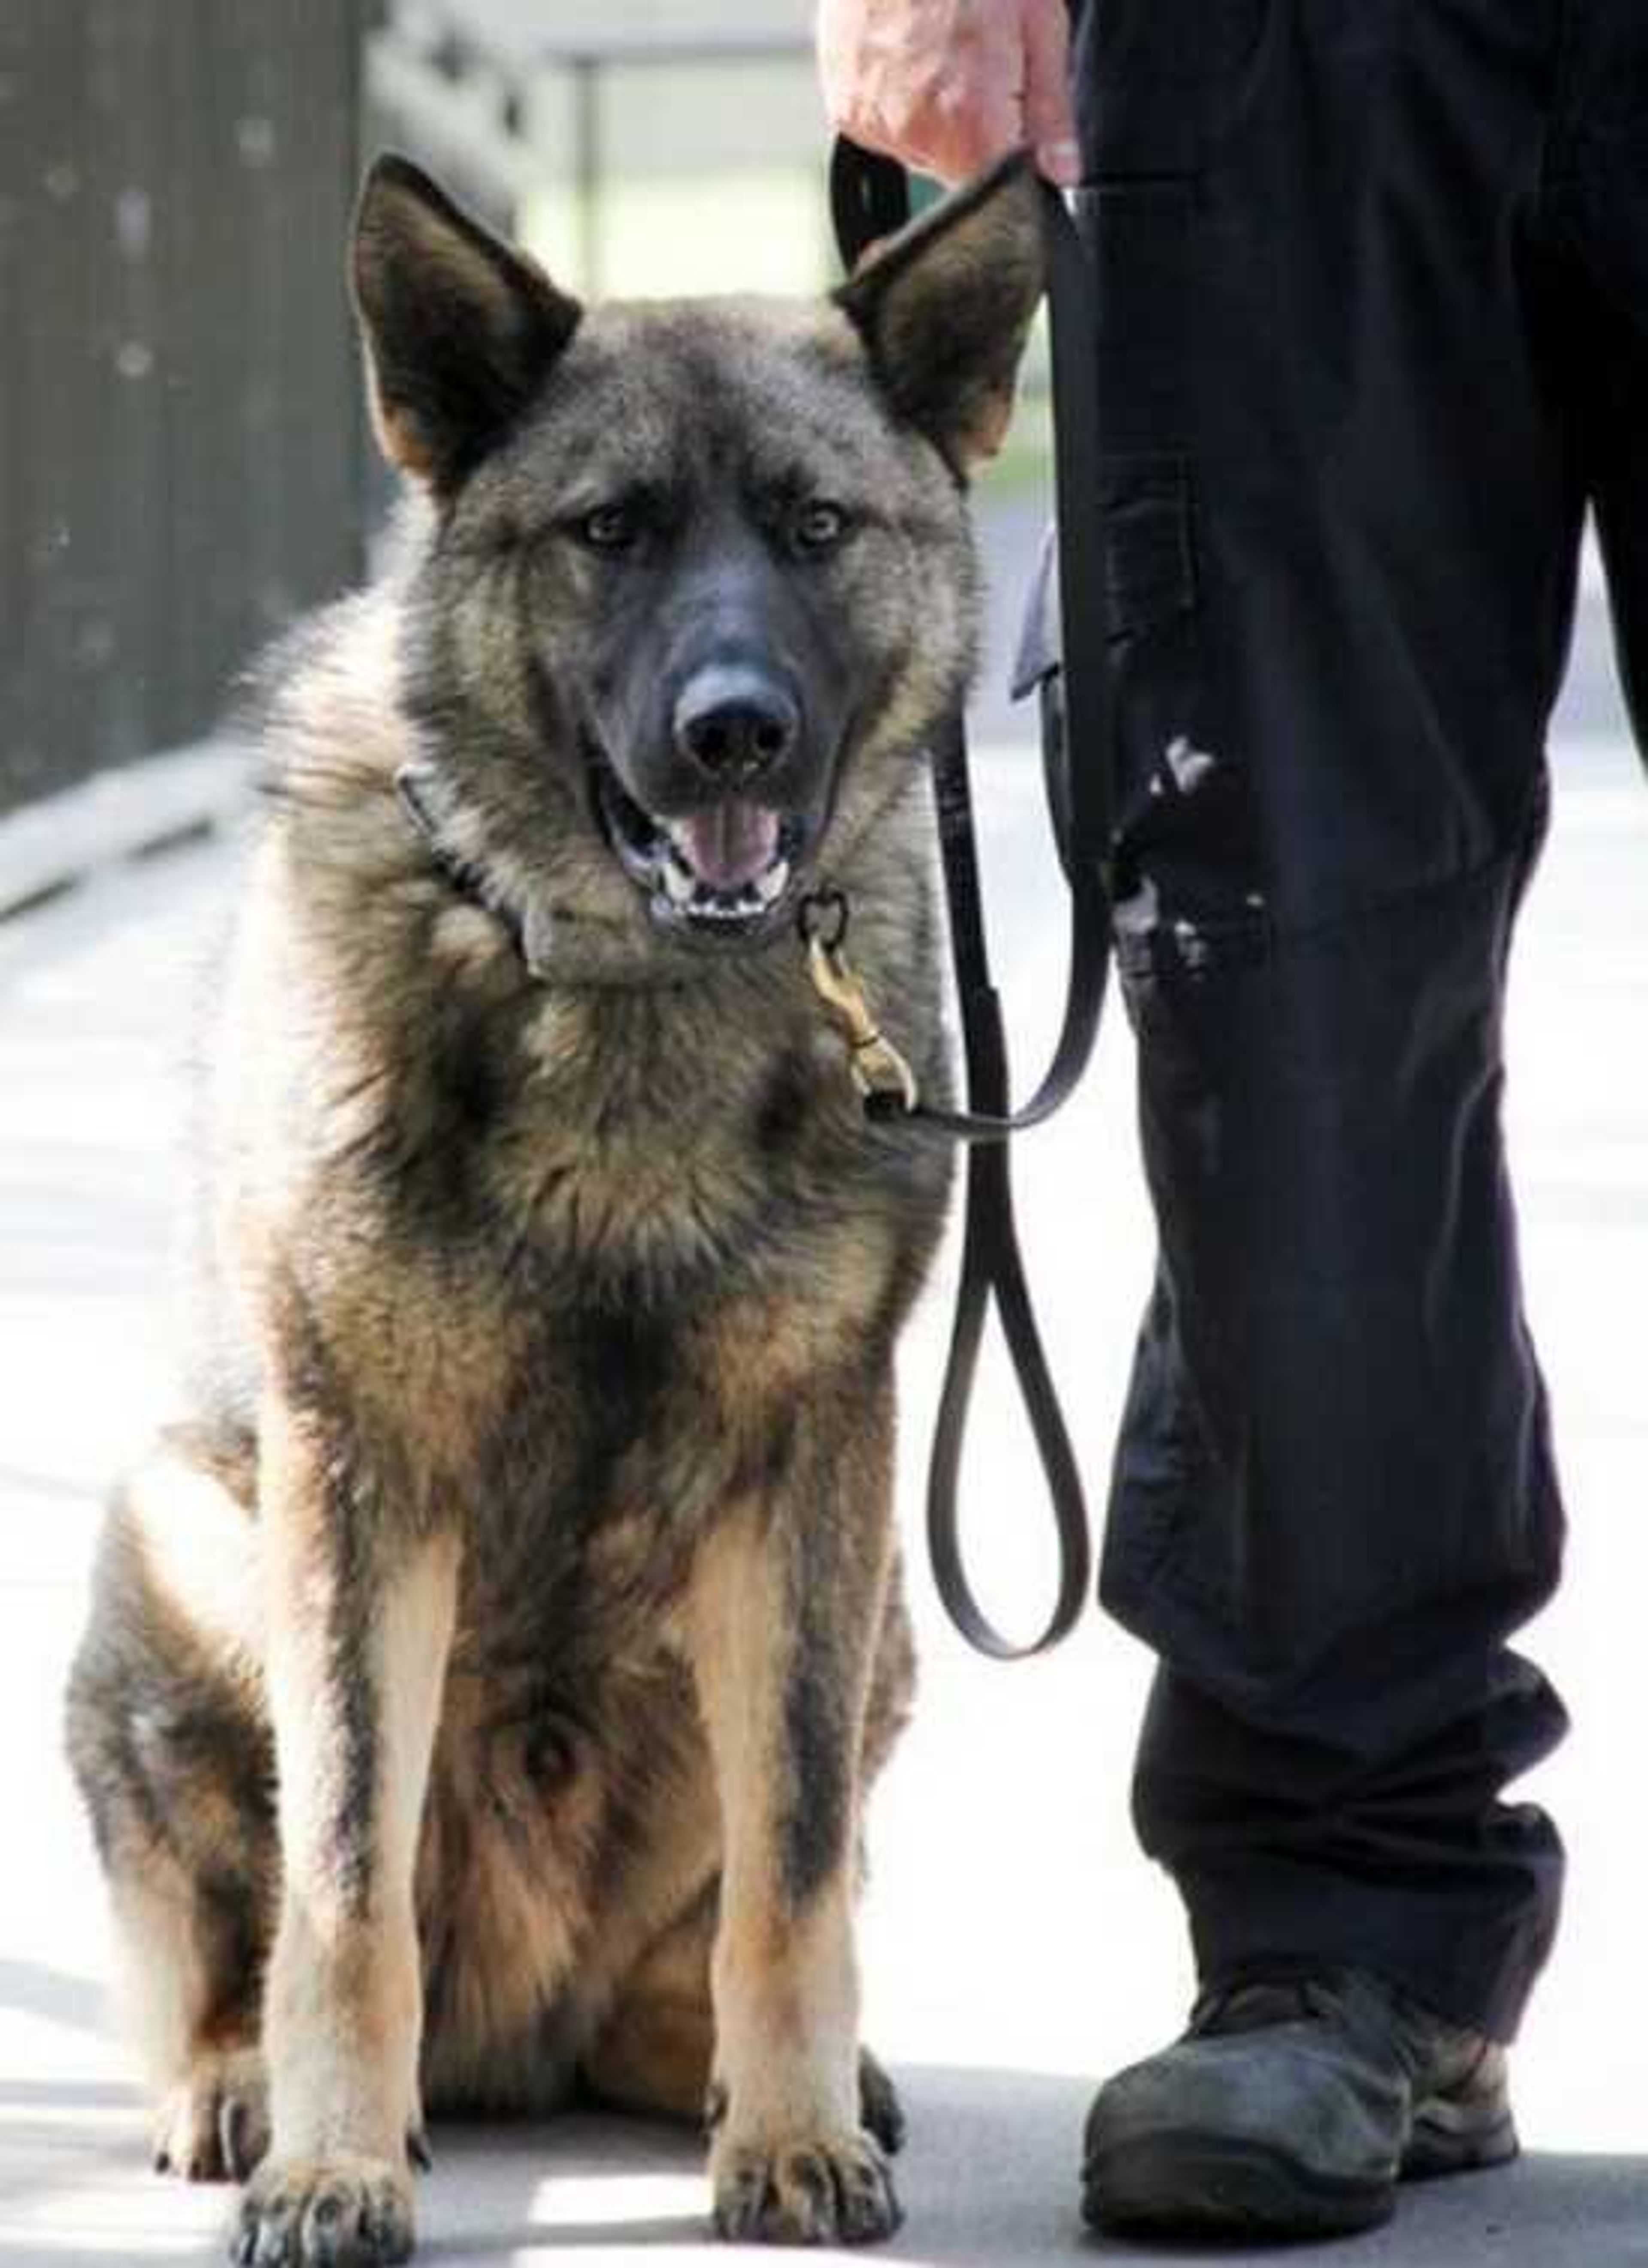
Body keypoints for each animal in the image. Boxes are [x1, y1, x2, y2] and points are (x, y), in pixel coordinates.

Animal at [67, 151, 1042, 2259]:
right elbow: (343, 1887)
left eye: (817, 527)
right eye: (612, 532)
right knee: (229, 1941)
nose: (738, 729)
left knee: (716, 1928)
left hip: (874, 1623)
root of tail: (518, 2033)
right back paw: (246, 2086)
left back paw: (754, 2075)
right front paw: (336, 2159)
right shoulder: (354, 1483)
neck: (623, 981)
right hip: (179, 1540)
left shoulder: (813, 1468)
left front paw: (788, 2128)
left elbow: (795, 1868)